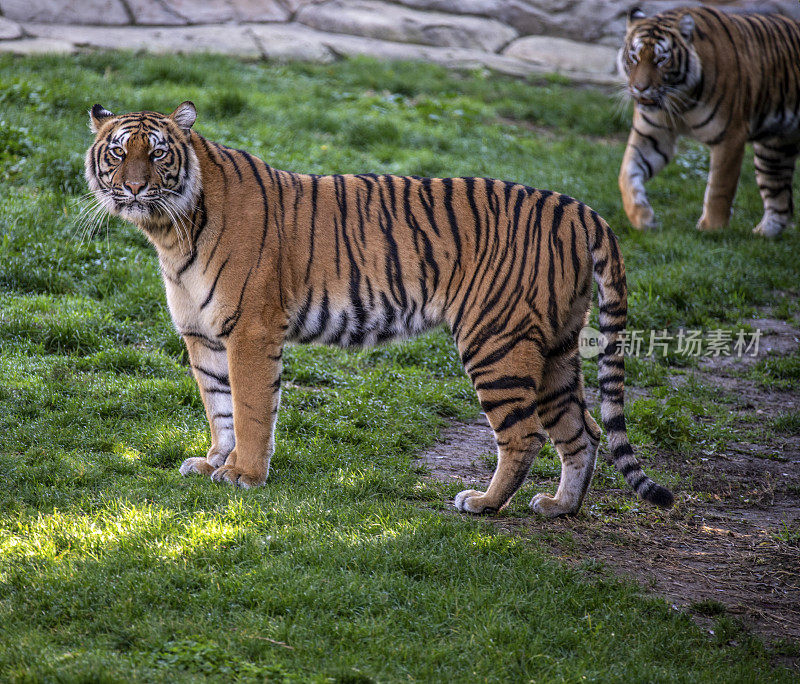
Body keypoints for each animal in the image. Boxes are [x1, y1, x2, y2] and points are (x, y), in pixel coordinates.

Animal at [83, 103, 676, 520]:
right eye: (118, 152)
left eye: (159, 153)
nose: (133, 187)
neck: (169, 232)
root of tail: (581, 210)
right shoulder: (202, 335)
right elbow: (219, 409)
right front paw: (213, 461)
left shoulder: (249, 332)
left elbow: (250, 411)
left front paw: (244, 476)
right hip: (555, 347)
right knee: (583, 432)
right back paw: (559, 507)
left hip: (497, 341)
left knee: (524, 433)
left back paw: (484, 504)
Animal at [620, 4, 800, 238]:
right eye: (634, 57)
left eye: (661, 60)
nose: (640, 88)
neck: (679, 101)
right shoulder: (651, 134)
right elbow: (627, 173)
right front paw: (643, 219)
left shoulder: (730, 136)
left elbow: (720, 186)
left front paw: (712, 229)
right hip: (774, 149)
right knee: (780, 198)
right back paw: (763, 235)